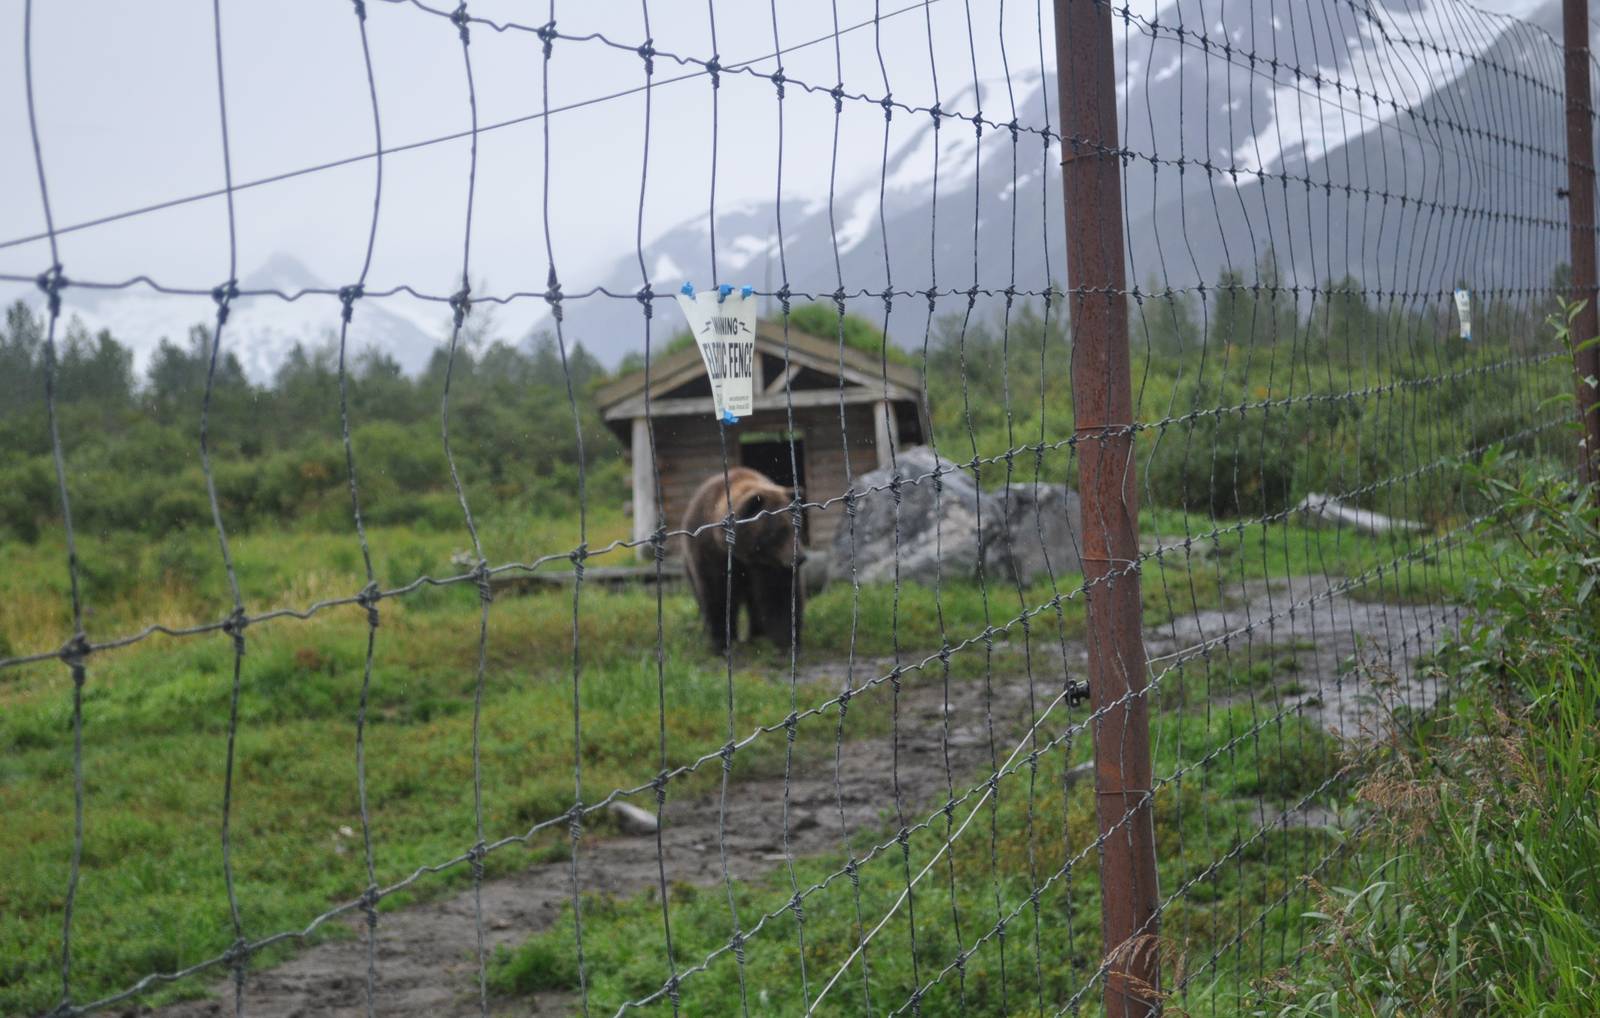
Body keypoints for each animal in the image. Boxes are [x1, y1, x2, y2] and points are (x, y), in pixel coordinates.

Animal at [679, 466, 806, 655]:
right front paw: (721, 643)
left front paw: (787, 641)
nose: (801, 557)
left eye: (797, 525)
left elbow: (777, 593)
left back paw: (757, 635)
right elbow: (717, 593)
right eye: (780, 530)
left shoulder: (770, 564)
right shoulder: (711, 553)